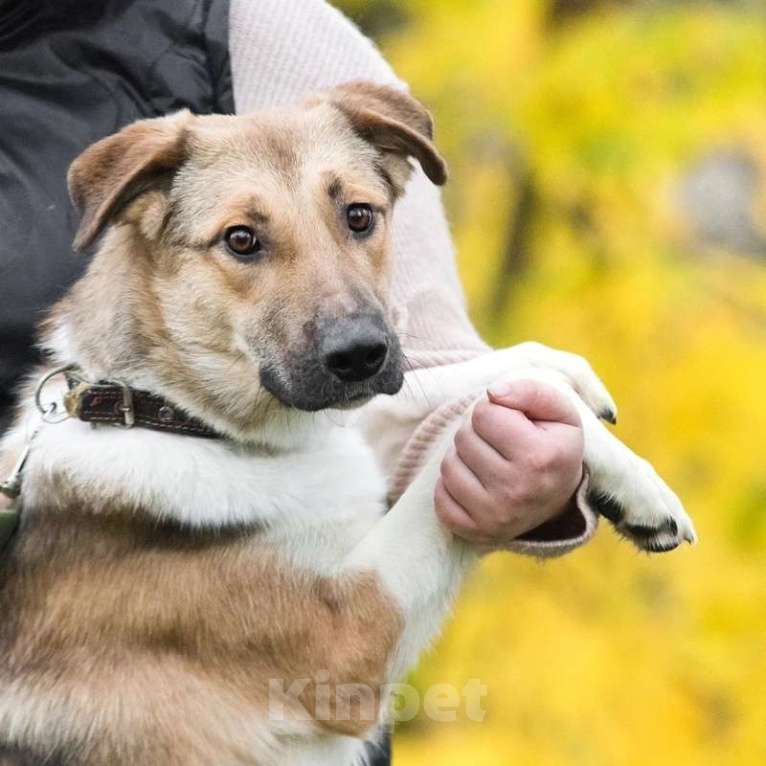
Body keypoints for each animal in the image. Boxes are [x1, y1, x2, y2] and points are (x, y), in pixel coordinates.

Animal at [0, 84, 696, 766]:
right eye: (240, 240)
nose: (361, 354)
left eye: (359, 215)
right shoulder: (348, 635)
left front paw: (613, 452)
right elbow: (451, 449)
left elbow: (485, 385)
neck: (166, 412)